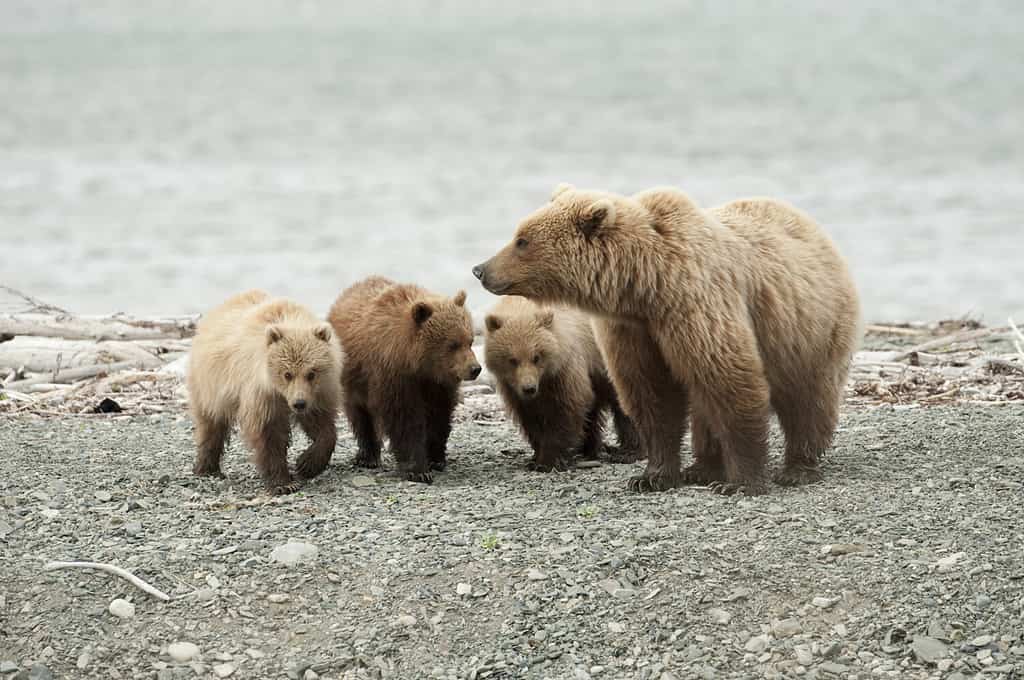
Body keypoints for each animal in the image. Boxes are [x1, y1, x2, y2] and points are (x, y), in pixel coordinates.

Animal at [187, 290, 343, 495]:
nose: (299, 404)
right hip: (210, 385)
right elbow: (268, 434)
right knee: (211, 423)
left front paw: (307, 464)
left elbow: (323, 426)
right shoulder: (262, 395)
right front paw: (284, 483)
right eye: (287, 374)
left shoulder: (318, 393)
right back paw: (207, 468)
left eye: (312, 373)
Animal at [327, 276, 481, 484]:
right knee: (360, 414)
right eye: (453, 344)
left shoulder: (437, 383)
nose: (475, 369)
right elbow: (404, 418)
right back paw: (368, 457)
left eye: (470, 340)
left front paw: (436, 458)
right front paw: (418, 470)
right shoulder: (392, 375)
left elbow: (439, 414)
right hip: (353, 379)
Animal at [483, 295, 642, 471]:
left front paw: (548, 460)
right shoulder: (514, 388)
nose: (529, 388)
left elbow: (567, 408)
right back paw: (589, 449)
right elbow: (530, 417)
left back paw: (628, 451)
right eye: (512, 360)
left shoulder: (565, 368)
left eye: (536, 357)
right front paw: (536, 456)